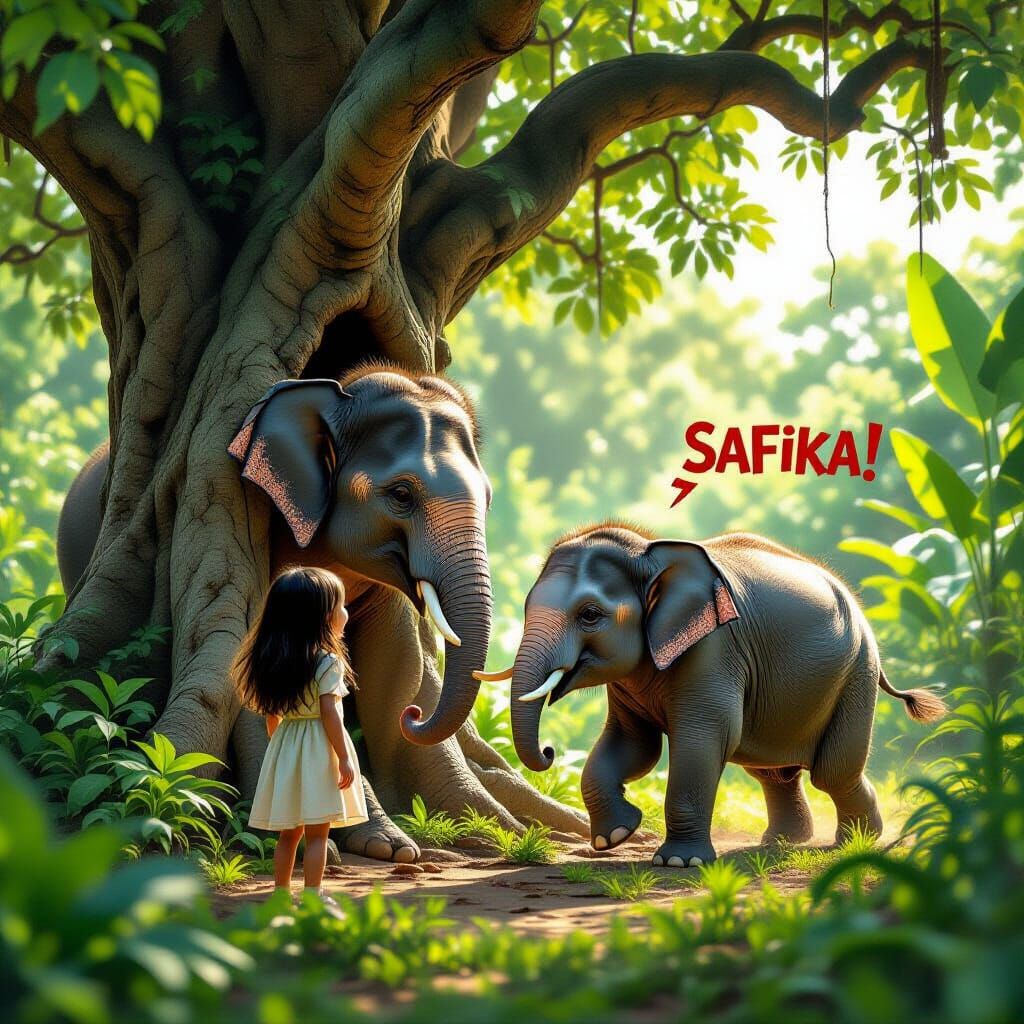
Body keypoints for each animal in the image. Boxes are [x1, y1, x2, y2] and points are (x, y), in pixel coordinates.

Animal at [57, 365, 585, 862]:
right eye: (401, 495)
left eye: (489, 498)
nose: (417, 714)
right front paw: (355, 843)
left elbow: (395, 666)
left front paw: (393, 844)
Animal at [491, 522, 946, 868]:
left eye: (589, 615)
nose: (549, 751)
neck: (650, 552)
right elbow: (632, 745)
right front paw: (615, 836)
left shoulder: (714, 650)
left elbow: (703, 740)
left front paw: (678, 862)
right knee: (772, 770)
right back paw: (782, 842)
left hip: (857, 673)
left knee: (832, 771)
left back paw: (856, 841)